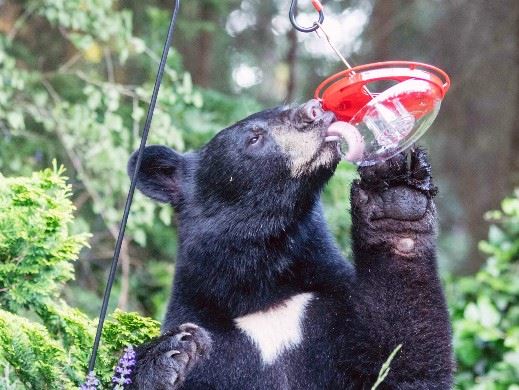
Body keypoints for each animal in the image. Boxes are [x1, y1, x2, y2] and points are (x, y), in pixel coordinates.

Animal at [127, 100, 456, 390]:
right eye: (254, 138)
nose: (315, 110)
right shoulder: (207, 325)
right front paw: (170, 354)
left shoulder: (330, 307)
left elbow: (403, 357)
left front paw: (396, 196)